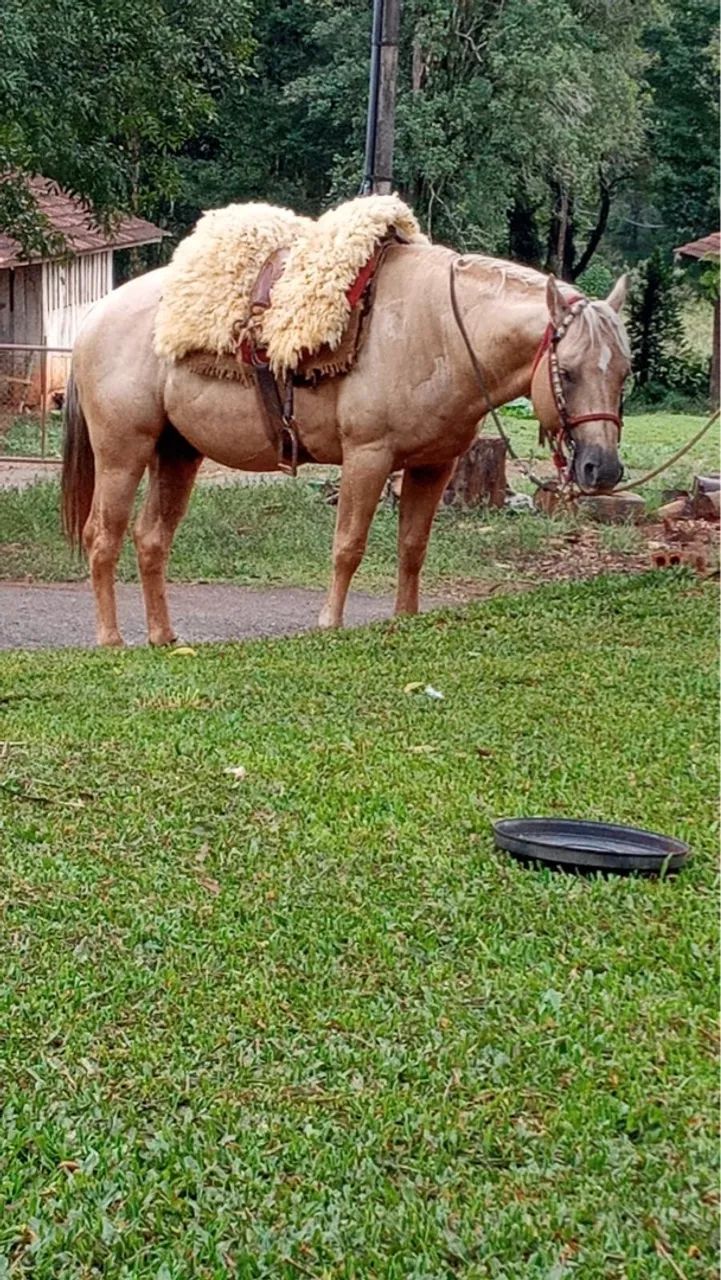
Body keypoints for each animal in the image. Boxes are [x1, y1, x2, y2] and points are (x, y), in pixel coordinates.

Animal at [61, 242, 630, 647]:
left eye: (623, 372)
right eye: (569, 372)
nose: (601, 469)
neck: (438, 332)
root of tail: (93, 318)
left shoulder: (434, 466)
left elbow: (412, 548)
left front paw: (405, 617)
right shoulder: (367, 457)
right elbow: (348, 546)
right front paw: (329, 623)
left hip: (177, 453)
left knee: (151, 538)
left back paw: (163, 637)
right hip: (122, 452)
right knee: (101, 537)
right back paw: (110, 639)